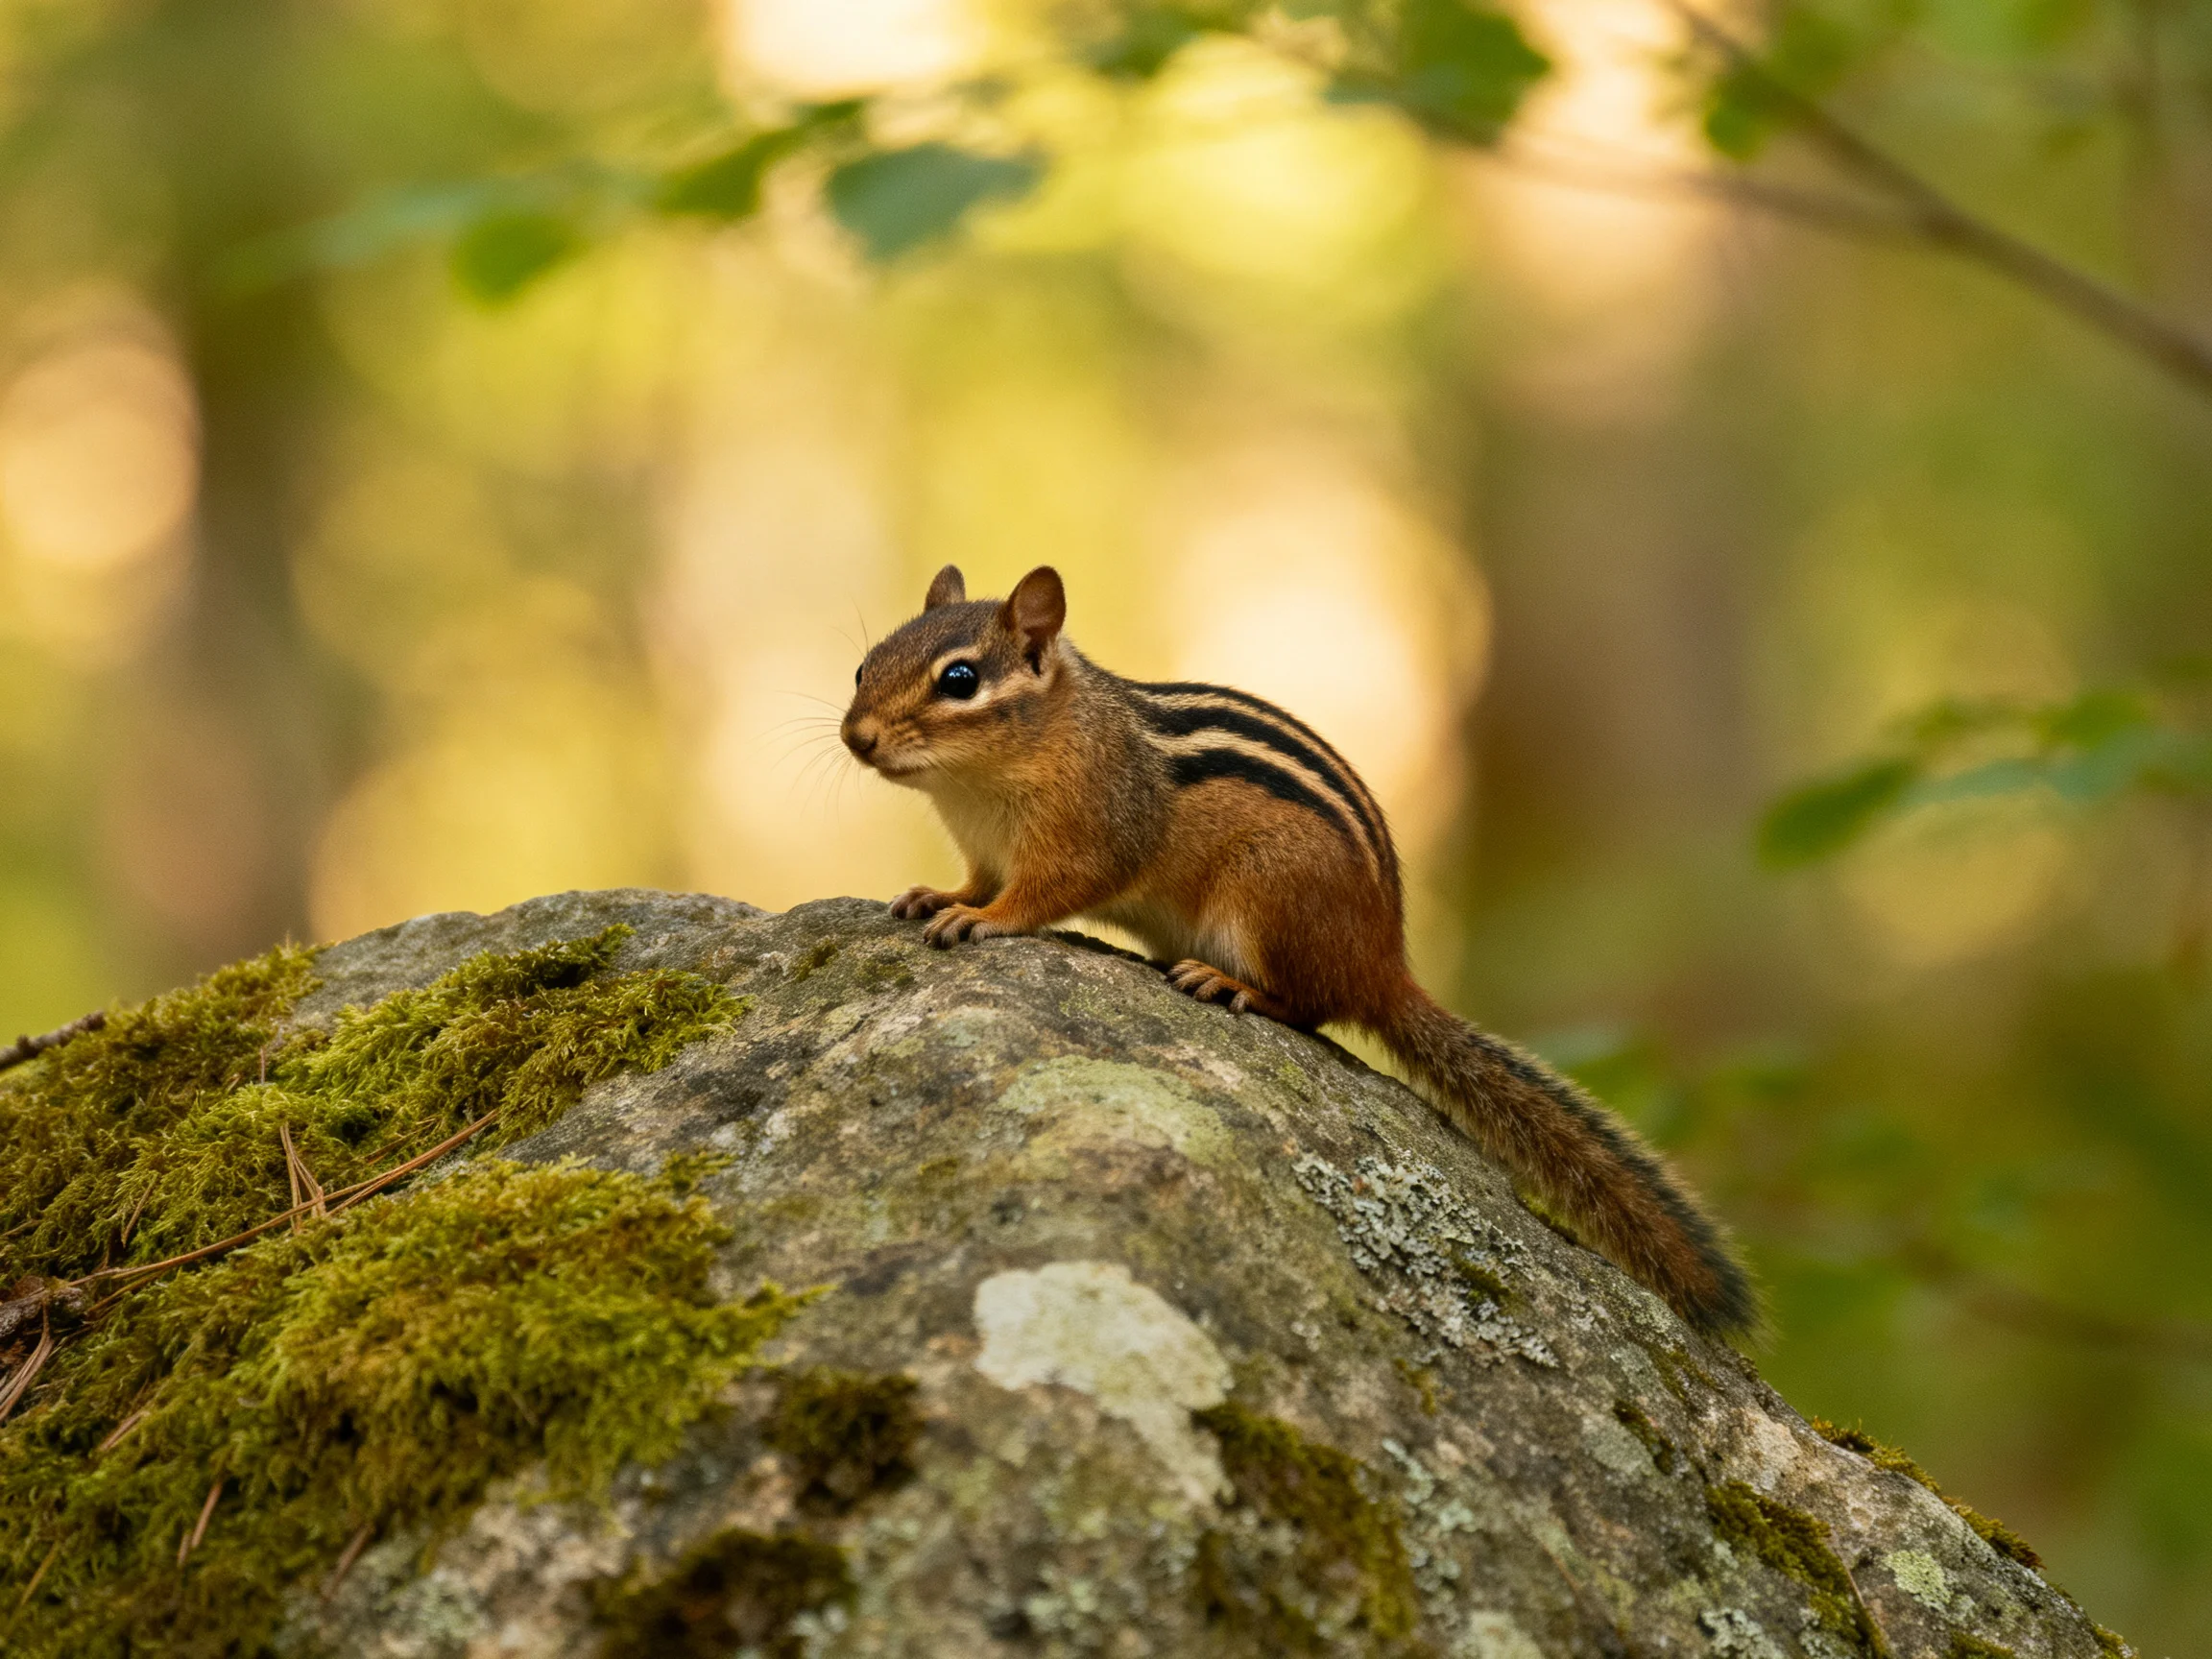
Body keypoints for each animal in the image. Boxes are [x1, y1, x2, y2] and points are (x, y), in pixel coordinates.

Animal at [841, 563, 1757, 1338]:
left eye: (960, 680)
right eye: (863, 668)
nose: (856, 738)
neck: (987, 778)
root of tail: (1385, 967)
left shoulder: (1091, 836)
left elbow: (1043, 896)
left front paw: (985, 923)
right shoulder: (984, 850)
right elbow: (972, 880)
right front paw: (938, 898)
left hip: (1268, 902)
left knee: (1311, 1009)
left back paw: (1231, 986)